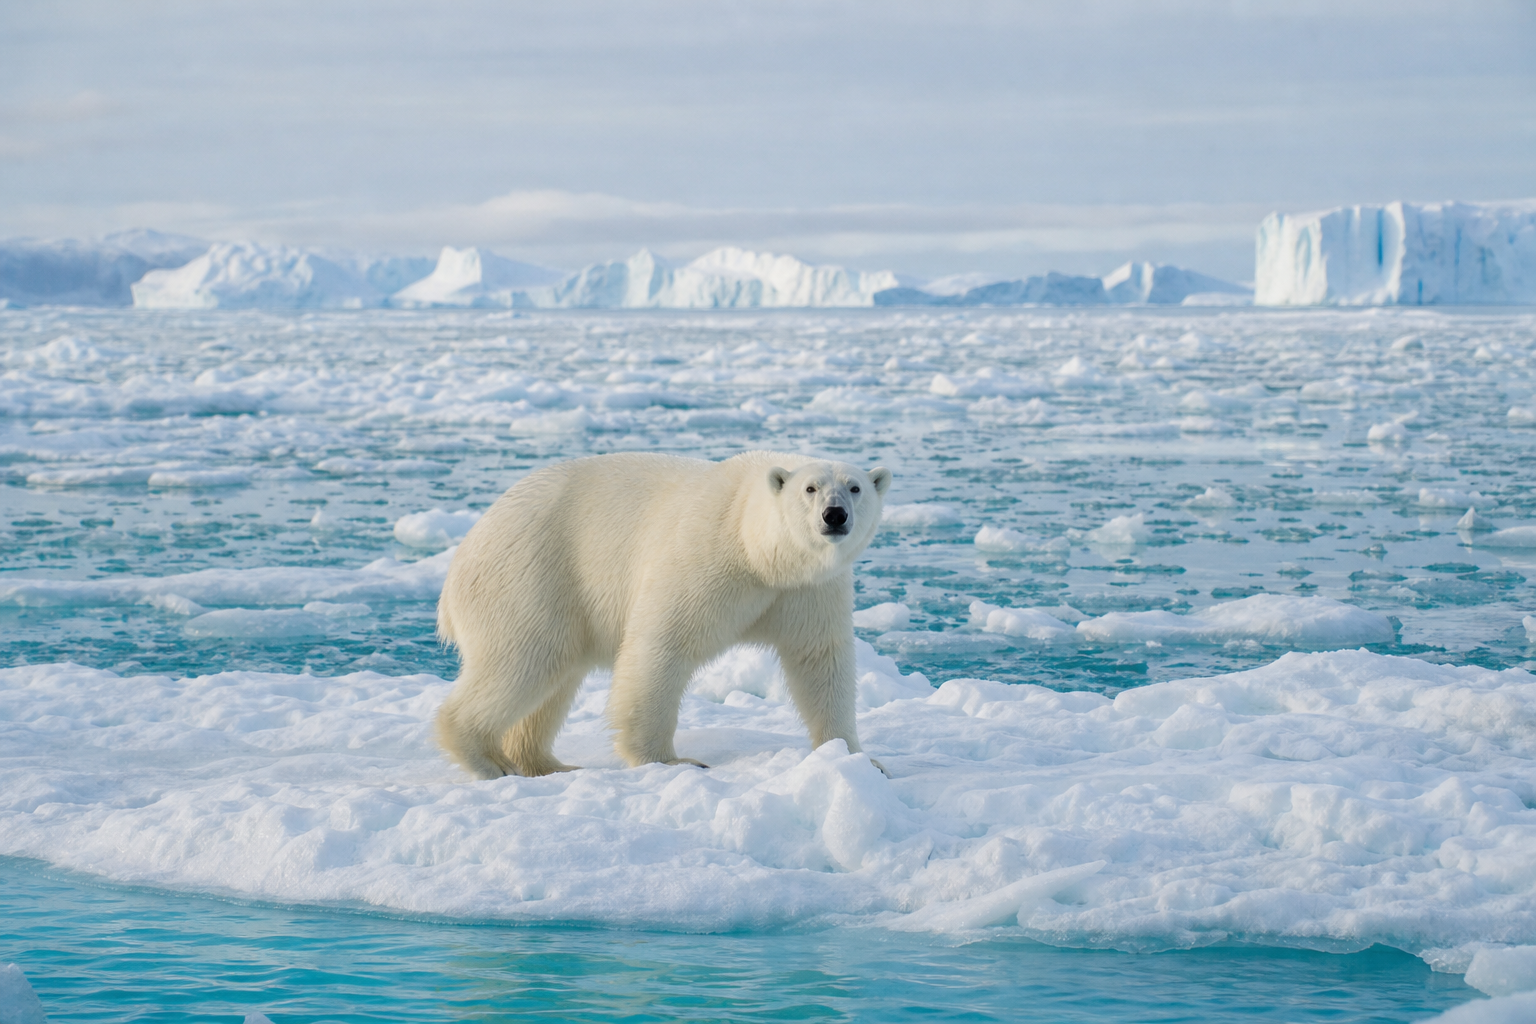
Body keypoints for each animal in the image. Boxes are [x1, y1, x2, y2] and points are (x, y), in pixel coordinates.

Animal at [433, 450, 892, 779]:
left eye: (855, 488)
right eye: (811, 488)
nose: (835, 515)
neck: (759, 553)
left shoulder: (807, 591)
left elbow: (820, 660)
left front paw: (857, 757)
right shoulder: (706, 556)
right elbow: (663, 645)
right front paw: (671, 761)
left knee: (553, 680)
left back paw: (545, 763)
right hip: (529, 578)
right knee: (523, 661)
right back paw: (489, 761)